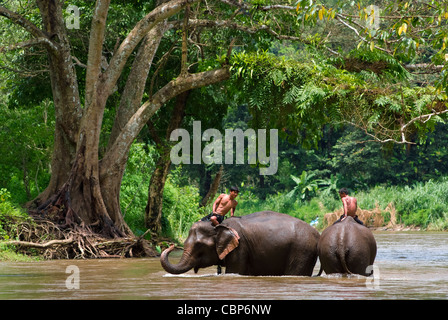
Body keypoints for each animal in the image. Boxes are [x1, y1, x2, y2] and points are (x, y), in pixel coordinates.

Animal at [159, 211, 320, 276]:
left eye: (199, 246)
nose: (171, 245)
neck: (221, 225)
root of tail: (317, 234)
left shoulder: (240, 248)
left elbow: (234, 271)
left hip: (301, 251)